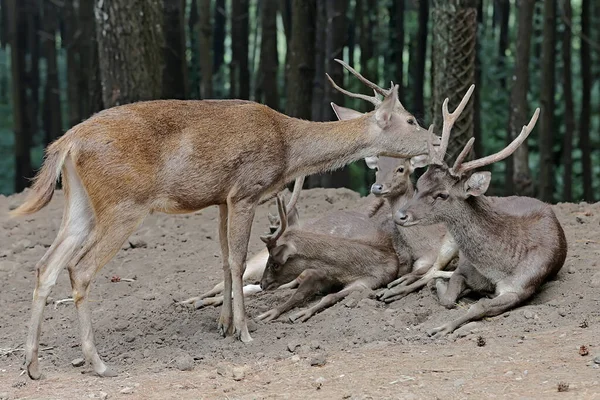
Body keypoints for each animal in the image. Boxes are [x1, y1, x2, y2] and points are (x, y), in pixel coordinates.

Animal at [9, 59, 436, 378]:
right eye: (411, 119)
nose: (434, 141)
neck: (287, 150)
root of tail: (67, 142)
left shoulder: (221, 199)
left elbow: (225, 258)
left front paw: (224, 325)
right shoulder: (246, 190)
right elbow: (237, 259)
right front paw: (245, 332)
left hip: (79, 202)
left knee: (45, 265)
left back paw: (33, 365)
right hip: (123, 204)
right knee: (79, 269)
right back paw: (98, 363)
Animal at [394, 85, 568, 338]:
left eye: (442, 194)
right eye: (419, 184)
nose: (400, 215)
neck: (498, 269)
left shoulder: (522, 287)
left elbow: (479, 306)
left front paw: (442, 328)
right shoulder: (464, 267)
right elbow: (448, 296)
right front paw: (442, 292)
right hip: (449, 242)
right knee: (429, 270)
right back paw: (391, 290)